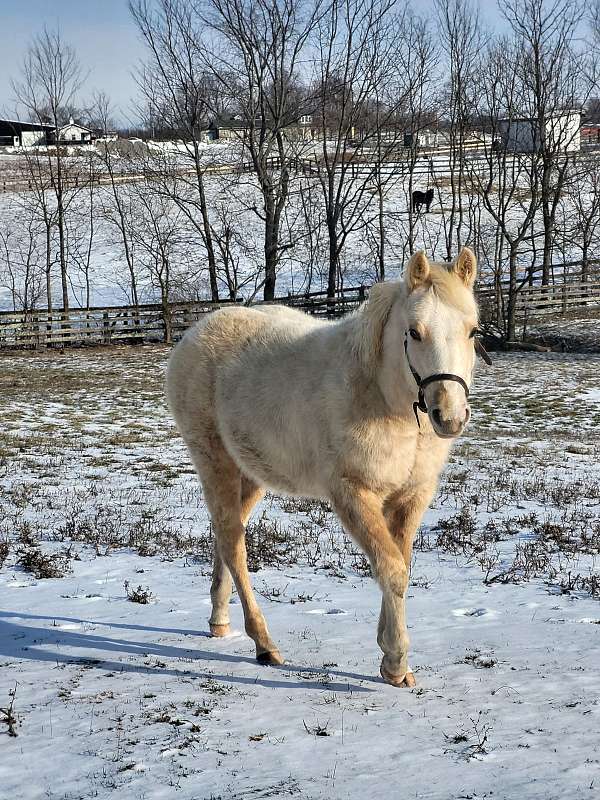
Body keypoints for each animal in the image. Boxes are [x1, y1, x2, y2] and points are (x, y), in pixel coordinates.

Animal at [168, 250, 482, 688]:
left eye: (472, 331)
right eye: (414, 332)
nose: (449, 418)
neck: (382, 399)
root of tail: (196, 333)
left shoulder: (411, 496)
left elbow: (400, 564)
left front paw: (389, 655)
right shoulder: (353, 494)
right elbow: (391, 570)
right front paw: (396, 663)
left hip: (251, 473)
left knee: (224, 535)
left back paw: (219, 621)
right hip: (215, 462)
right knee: (233, 543)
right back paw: (264, 644)